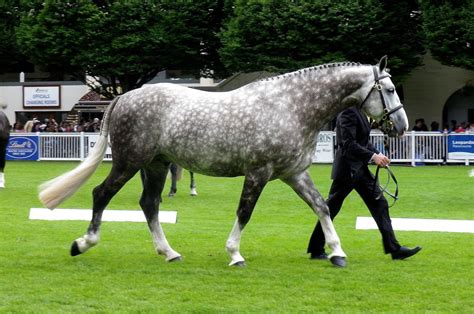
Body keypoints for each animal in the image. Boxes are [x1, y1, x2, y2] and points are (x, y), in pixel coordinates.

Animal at [39, 57, 408, 268]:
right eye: (389, 89)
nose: (402, 126)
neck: (291, 106)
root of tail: (124, 96)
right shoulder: (259, 172)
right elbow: (244, 213)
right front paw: (234, 254)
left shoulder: (294, 173)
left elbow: (322, 206)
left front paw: (336, 252)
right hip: (129, 162)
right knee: (101, 194)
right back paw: (82, 244)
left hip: (155, 164)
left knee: (149, 204)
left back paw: (169, 252)